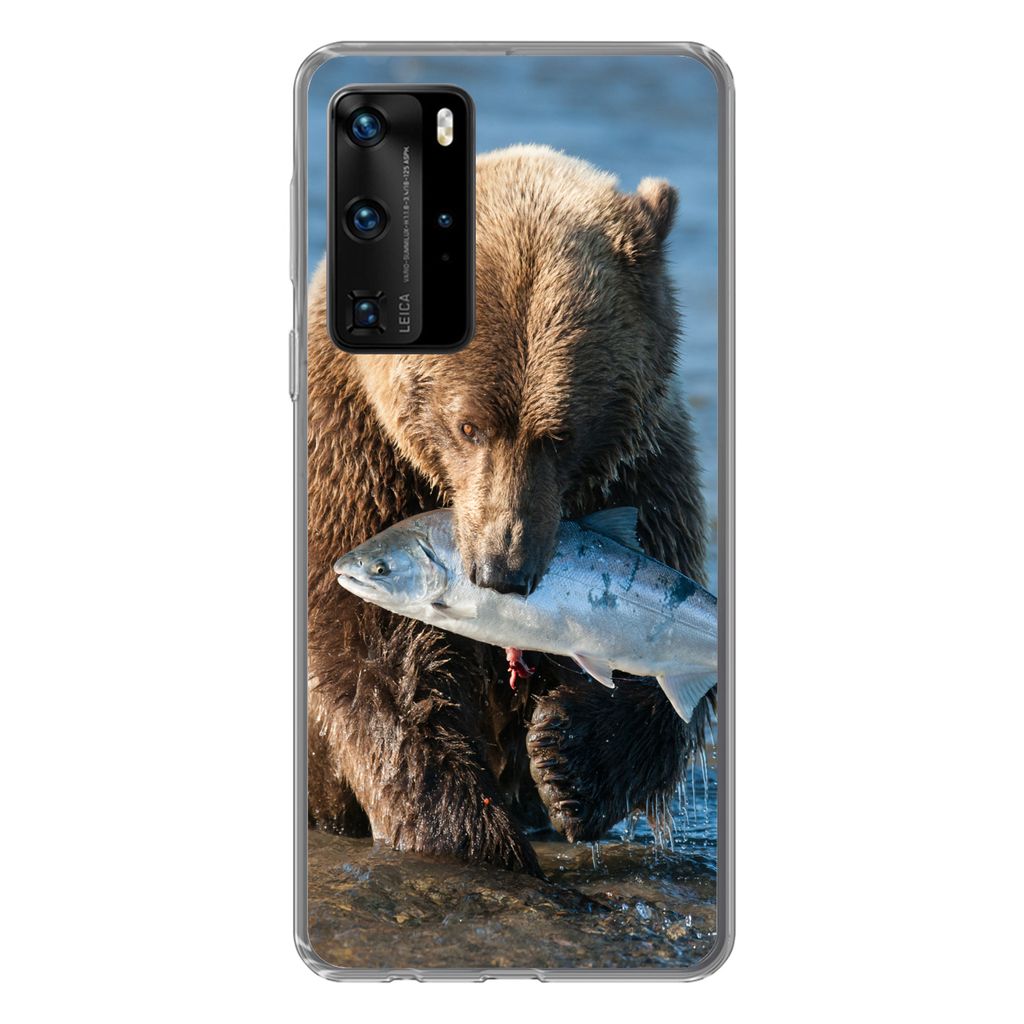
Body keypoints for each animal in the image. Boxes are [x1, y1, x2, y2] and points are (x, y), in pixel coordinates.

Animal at [306, 145, 710, 876]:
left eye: (561, 433)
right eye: (468, 426)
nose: (503, 570)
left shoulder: (642, 473)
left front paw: (568, 759)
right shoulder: (356, 460)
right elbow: (380, 666)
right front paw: (473, 834)